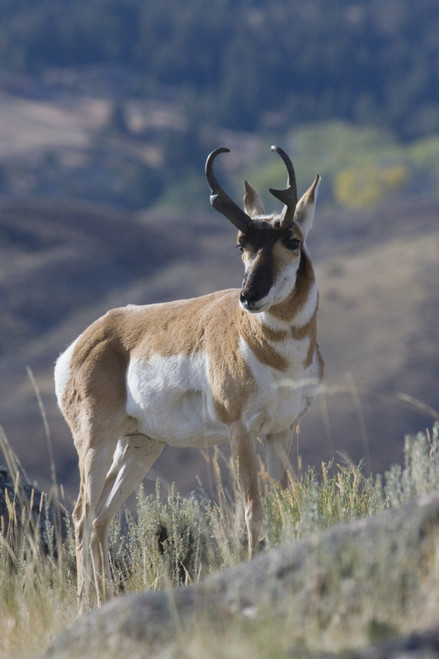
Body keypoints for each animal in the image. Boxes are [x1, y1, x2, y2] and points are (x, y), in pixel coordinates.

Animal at [54, 145, 323, 610]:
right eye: (241, 244)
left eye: (292, 240)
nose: (248, 296)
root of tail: (82, 343)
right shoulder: (240, 431)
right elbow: (253, 509)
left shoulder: (281, 431)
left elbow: (289, 498)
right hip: (95, 442)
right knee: (82, 514)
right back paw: (86, 604)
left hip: (140, 446)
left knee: (103, 516)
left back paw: (106, 601)